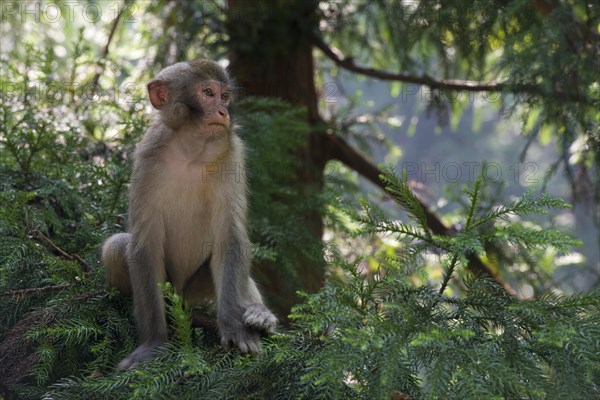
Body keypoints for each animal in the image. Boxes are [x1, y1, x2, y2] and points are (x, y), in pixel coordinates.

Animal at [102, 60, 278, 372]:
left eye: (225, 97)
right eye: (207, 93)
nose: (222, 112)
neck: (191, 151)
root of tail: (183, 295)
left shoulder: (231, 154)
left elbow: (231, 239)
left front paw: (235, 329)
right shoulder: (147, 157)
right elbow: (143, 244)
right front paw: (152, 344)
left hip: (198, 285)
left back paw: (259, 315)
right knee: (116, 246)